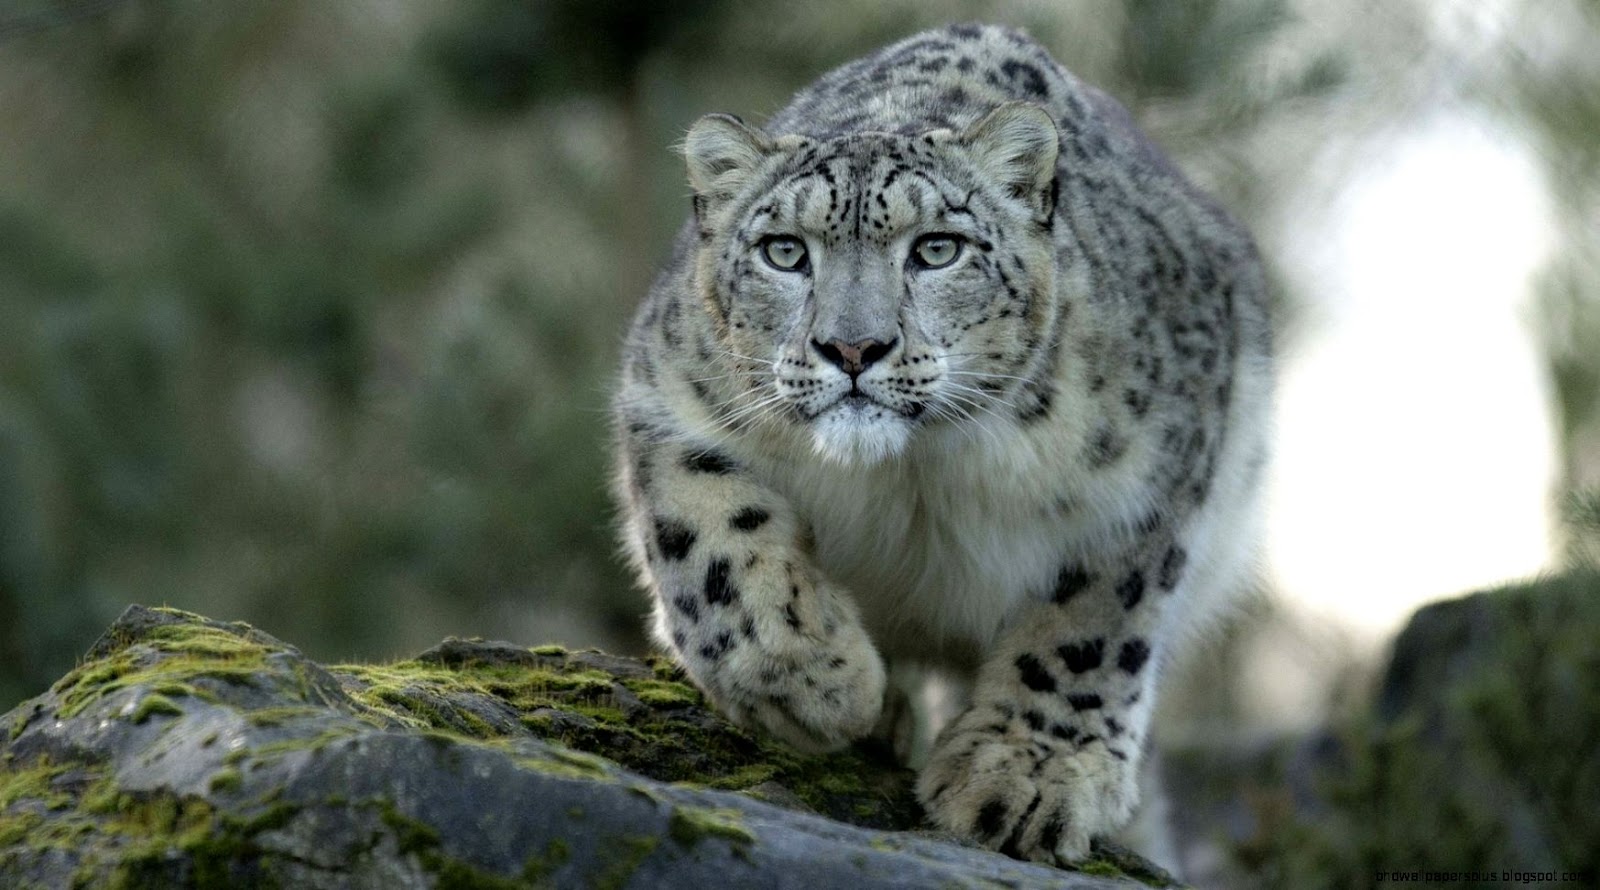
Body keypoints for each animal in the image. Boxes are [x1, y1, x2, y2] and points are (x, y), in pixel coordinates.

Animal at [610, 22, 1272, 867]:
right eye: (785, 251)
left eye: (937, 249)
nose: (853, 347)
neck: (913, 474)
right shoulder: (668, 399)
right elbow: (712, 541)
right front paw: (816, 681)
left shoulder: (1152, 480)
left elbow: (1091, 625)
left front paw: (1024, 777)